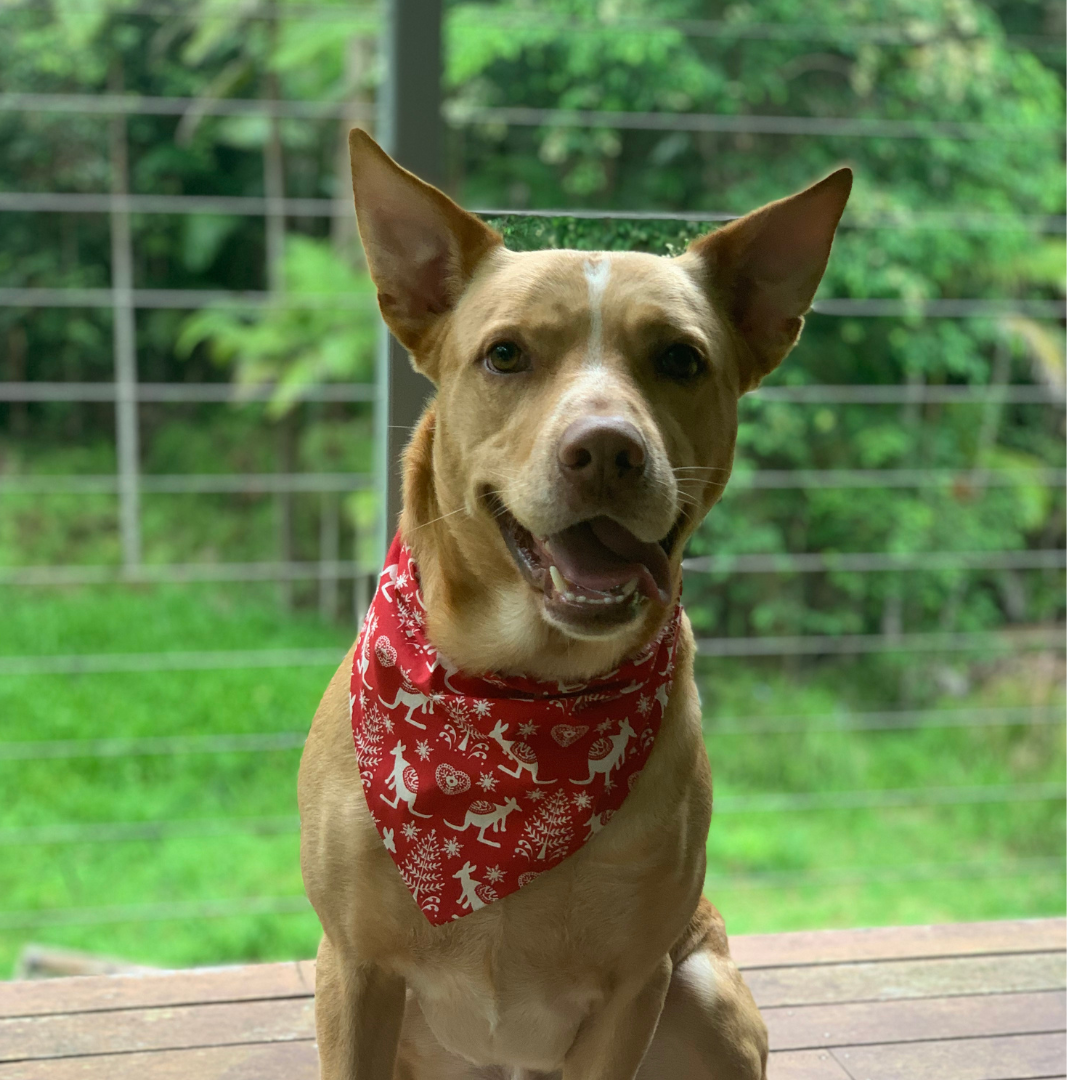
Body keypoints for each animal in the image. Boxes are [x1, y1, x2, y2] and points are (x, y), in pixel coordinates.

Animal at [298, 128, 851, 1080]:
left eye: (680, 359)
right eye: (505, 354)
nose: (606, 451)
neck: (526, 691)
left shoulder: (634, 988)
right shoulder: (354, 971)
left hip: (701, 992)